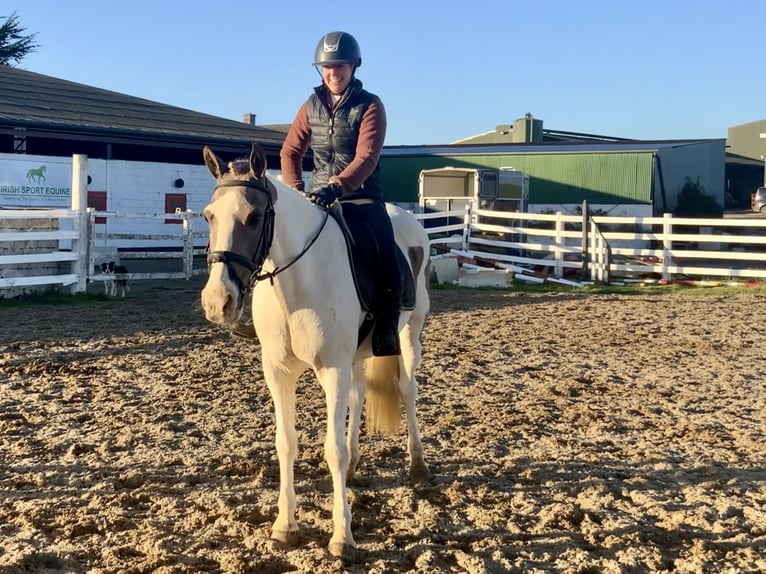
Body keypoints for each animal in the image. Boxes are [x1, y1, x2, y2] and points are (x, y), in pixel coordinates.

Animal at [200, 144, 432, 560]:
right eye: (208, 215)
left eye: (253, 217)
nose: (217, 302)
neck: (296, 281)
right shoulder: (278, 372)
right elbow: (286, 443)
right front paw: (284, 526)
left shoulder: (332, 369)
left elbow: (332, 449)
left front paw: (342, 537)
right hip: (357, 354)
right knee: (359, 393)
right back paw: (356, 465)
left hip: (410, 331)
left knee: (407, 389)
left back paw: (418, 464)